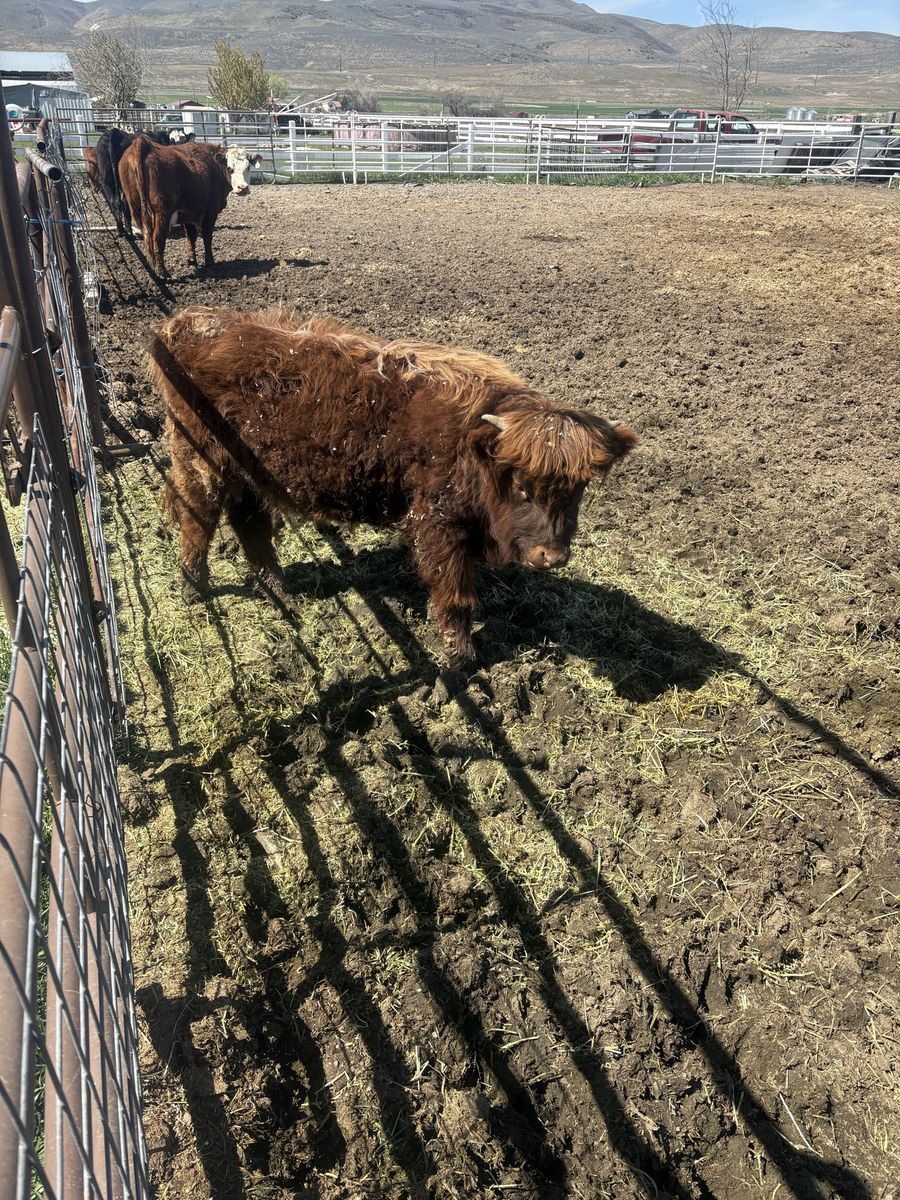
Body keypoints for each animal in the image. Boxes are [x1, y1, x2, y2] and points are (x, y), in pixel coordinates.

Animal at [118, 138, 262, 277]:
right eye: (230, 168)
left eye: (248, 167)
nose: (243, 188)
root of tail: (143, 143)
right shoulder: (210, 212)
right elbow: (207, 236)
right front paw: (209, 261)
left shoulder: (188, 213)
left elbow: (191, 236)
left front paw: (192, 260)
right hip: (162, 213)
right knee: (158, 239)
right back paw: (163, 272)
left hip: (137, 210)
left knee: (147, 237)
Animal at [149, 307, 637, 666]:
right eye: (521, 486)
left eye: (578, 490)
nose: (551, 557)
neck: (474, 443)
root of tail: (185, 323)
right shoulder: (440, 526)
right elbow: (455, 595)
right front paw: (462, 659)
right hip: (201, 463)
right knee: (197, 520)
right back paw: (193, 590)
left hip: (246, 476)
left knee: (251, 527)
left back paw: (280, 594)